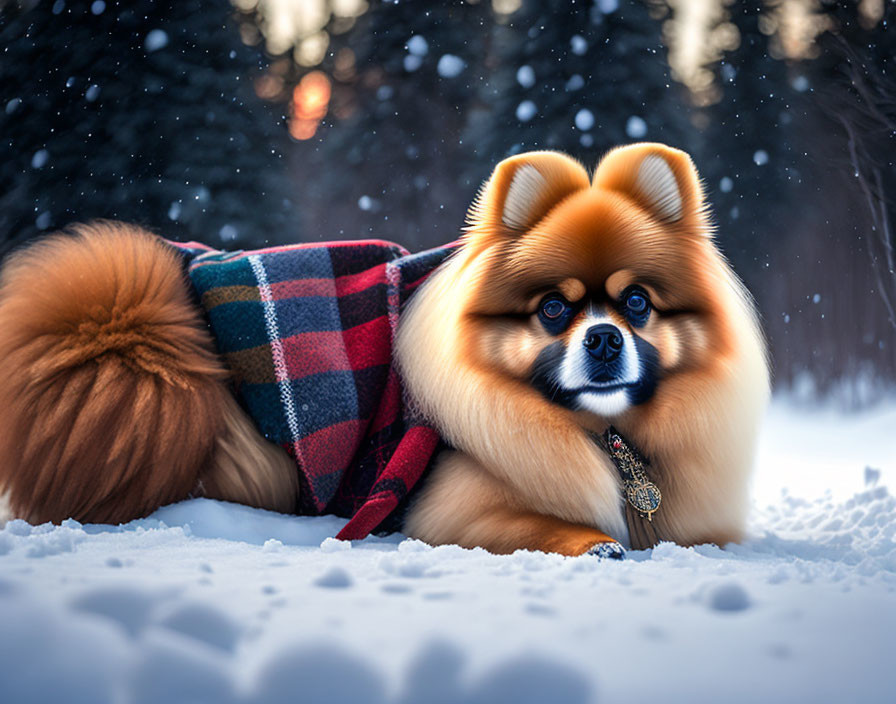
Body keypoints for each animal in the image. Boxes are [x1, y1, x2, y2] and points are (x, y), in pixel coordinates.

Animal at [0, 143, 768, 560]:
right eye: (553, 309)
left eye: (636, 303)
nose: (604, 338)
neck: (605, 433)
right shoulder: (447, 506)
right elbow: (538, 521)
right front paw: (594, 540)